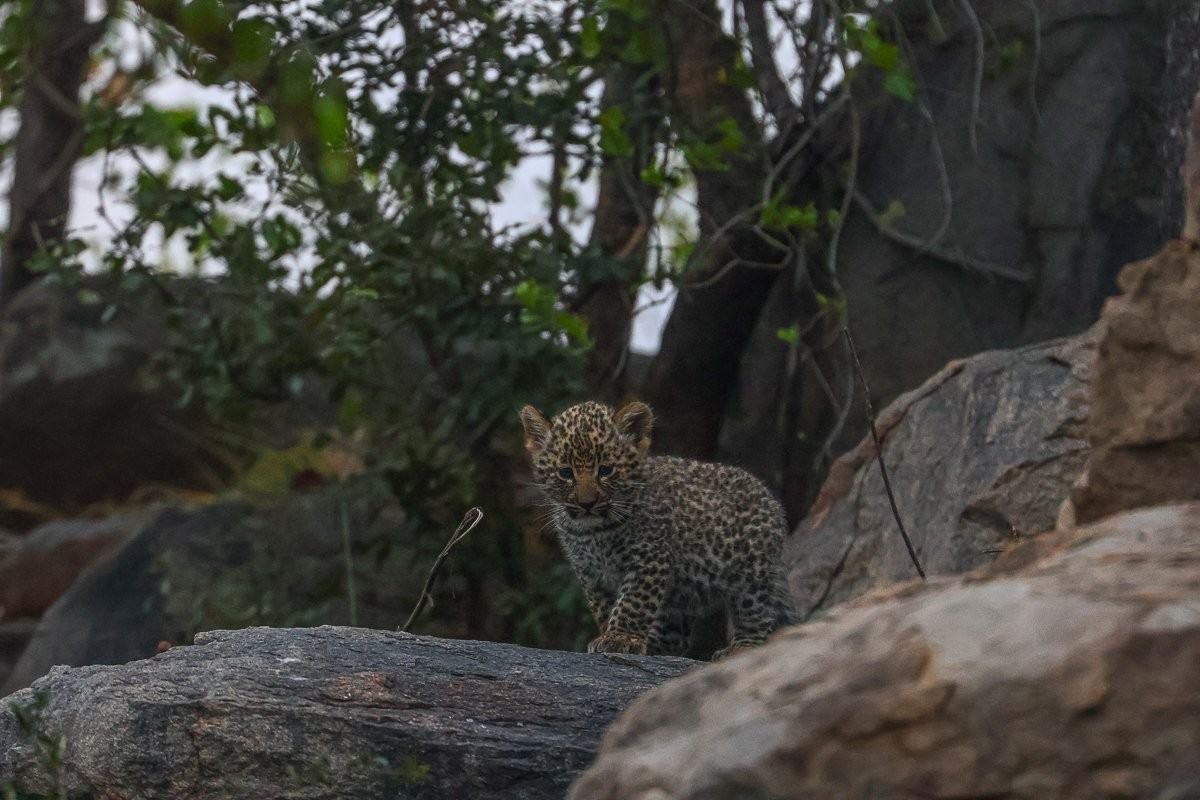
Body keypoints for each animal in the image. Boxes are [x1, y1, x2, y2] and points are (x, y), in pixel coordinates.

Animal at [520, 399, 797, 660]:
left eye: (606, 470)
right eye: (565, 473)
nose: (586, 504)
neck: (594, 533)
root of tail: (770, 499)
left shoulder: (648, 558)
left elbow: (633, 601)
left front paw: (620, 638)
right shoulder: (591, 572)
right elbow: (604, 606)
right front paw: (614, 634)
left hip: (752, 575)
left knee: (756, 614)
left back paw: (742, 648)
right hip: (680, 598)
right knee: (676, 635)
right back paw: (654, 646)